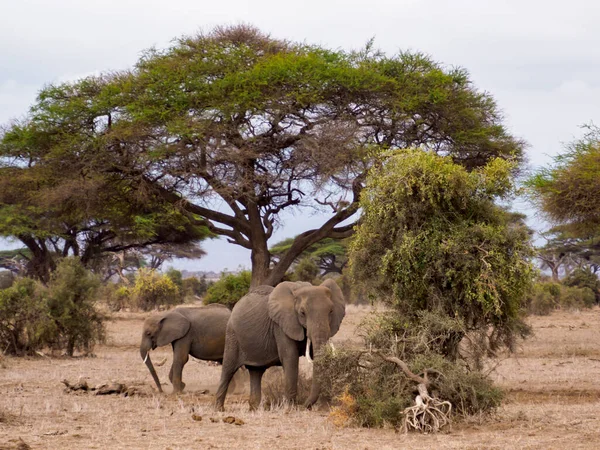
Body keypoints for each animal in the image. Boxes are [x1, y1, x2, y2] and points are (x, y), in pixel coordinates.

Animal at [216, 280, 346, 414]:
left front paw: (325, 409)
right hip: (232, 335)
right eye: (302, 313)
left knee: (256, 372)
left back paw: (254, 410)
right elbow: (290, 357)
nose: (305, 406)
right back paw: (219, 409)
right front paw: (290, 409)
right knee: (228, 368)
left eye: (331, 311)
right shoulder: (280, 325)